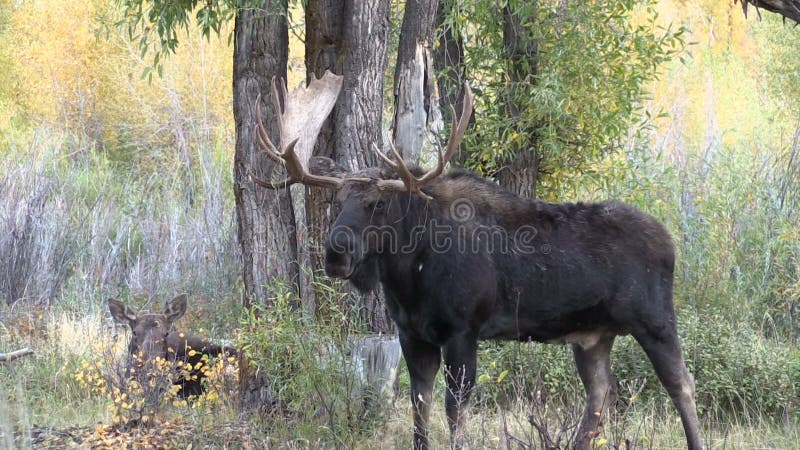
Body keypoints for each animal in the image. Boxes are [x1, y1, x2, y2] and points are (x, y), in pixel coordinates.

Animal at [255, 71, 700, 450]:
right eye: (337, 200)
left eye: (377, 204)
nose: (335, 252)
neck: (408, 279)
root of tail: (672, 243)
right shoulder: (412, 335)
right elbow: (419, 412)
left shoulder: (463, 330)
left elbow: (455, 412)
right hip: (593, 335)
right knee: (599, 396)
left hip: (655, 320)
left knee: (682, 384)